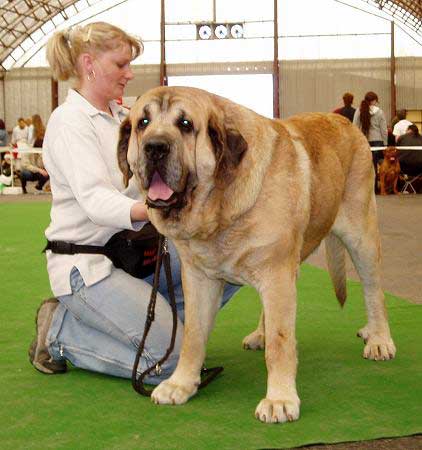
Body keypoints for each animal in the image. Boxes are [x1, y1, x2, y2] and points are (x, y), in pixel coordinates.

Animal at [118, 86, 396, 424]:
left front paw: (279, 399)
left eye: (185, 124)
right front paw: (181, 383)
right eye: (142, 122)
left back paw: (379, 338)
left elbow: (280, 342)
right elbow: (192, 336)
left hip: (361, 237)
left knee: (373, 291)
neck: (219, 202)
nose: (155, 147)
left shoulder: (277, 273)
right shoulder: (200, 278)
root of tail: (345, 123)